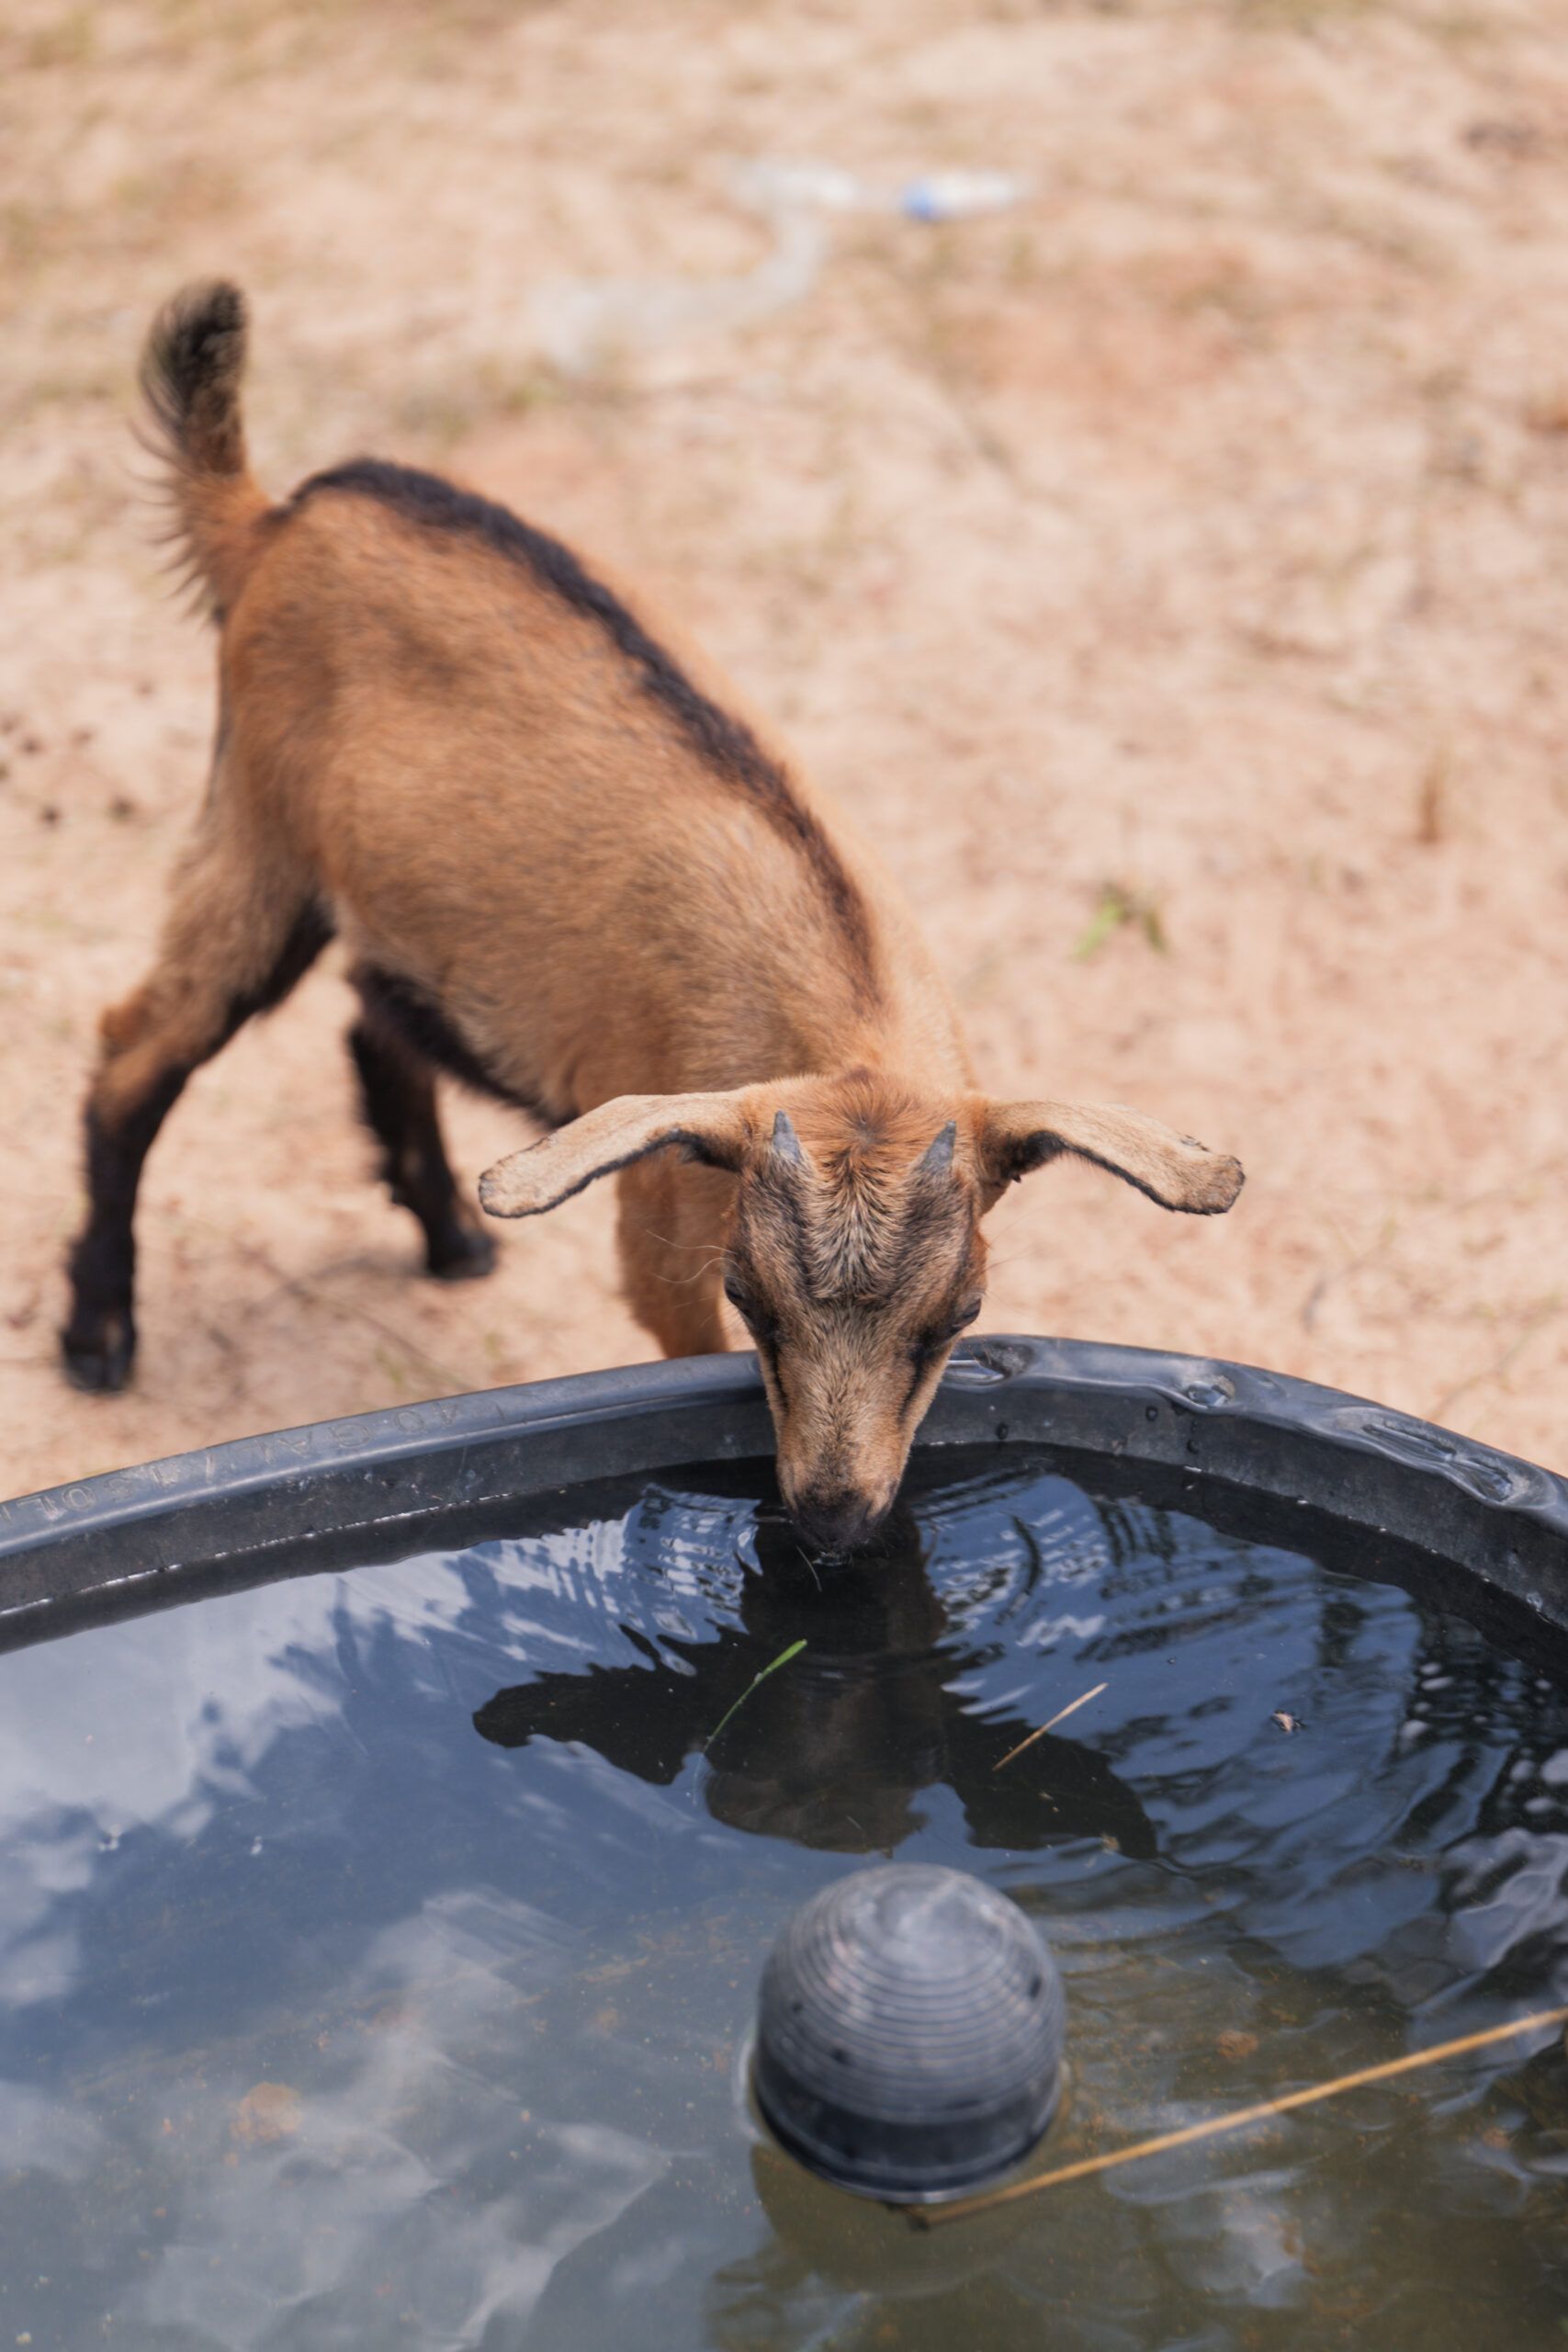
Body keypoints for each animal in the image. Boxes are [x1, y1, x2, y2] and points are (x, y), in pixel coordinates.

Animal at [62, 282, 1243, 1550]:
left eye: (961, 1312)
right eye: (748, 1298)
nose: (833, 1517)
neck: (846, 1008)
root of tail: (273, 516)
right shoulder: (668, 1225)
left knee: (373, 1019)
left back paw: (452, 1239)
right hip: (255, 837)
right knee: (138, 1047)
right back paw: (98, 1338)